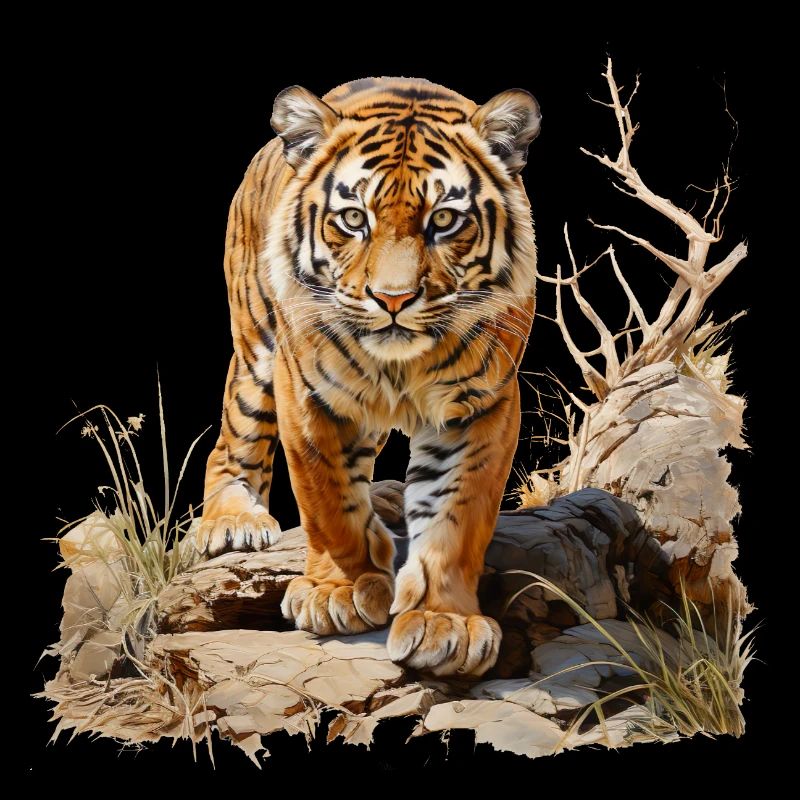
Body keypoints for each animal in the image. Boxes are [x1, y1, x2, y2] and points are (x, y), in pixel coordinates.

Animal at [196, 77, 540, 677]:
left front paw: (444, 623)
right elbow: (327, 498)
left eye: (444, 220)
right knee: (235, 439)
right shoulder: (306, 393)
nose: (393, 299)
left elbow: (458, 514)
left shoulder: (483, 404)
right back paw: (232, 520)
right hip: (255, 347)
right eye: (354, 219)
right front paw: (338, 591)